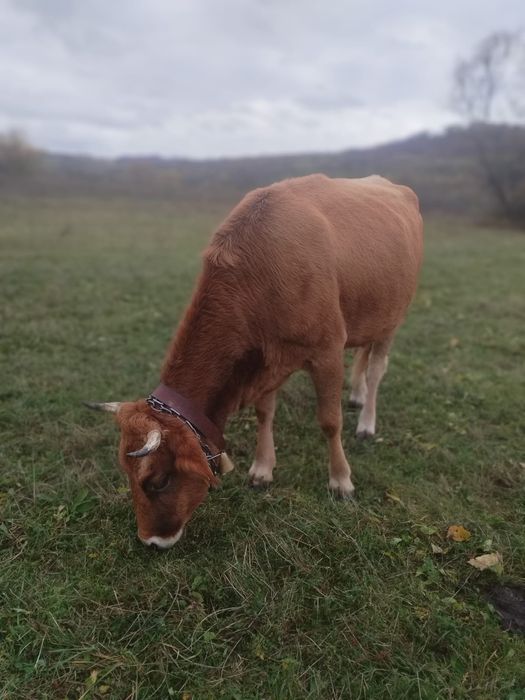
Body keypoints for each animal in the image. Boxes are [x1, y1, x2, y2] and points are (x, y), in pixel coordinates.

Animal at [86, 174, 423, 549]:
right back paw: (357, 395)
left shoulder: (327, 351)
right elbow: (265, 413)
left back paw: (366, 422)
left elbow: (329, 421)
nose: (150, 541)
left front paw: (341, 480)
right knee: (364, 354)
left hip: (394, 317)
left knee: (377, 368)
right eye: (126, 476)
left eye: (157, 481)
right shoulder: (267, 359)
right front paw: (262, 469)